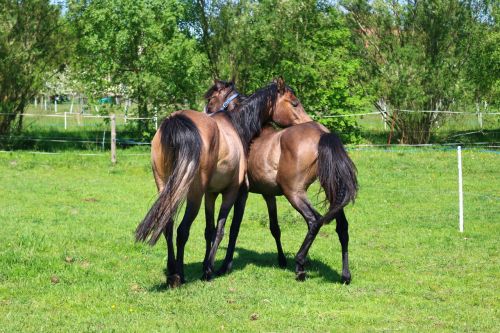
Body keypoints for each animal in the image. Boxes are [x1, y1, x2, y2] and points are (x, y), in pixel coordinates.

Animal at [135, 78, 310, 286]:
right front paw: (213, 268)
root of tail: (175, 122)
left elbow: (209, 230)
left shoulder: (210, 194)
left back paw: (171, 271)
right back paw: (179, 275)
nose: (308, 123)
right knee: (182, 230)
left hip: (166, 187)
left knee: (167, 226)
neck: (236, 125)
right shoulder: (235, 192)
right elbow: (227, 229)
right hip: (193, 195)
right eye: (294, 103)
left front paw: (206, 263)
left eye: (210, 99)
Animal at [205, 79, 358, 282]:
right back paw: (345, 275)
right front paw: (281, 260)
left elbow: (234, 228)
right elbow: (275, 227)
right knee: (342, 228)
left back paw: (300, 265)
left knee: (314, 221)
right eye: (294, 103)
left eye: (212, 98)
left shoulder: (242, 193)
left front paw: (225, 266)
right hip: (331, 191)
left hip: (294, 193)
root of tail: (322, 134)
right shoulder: (268, 194)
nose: (207, 113)